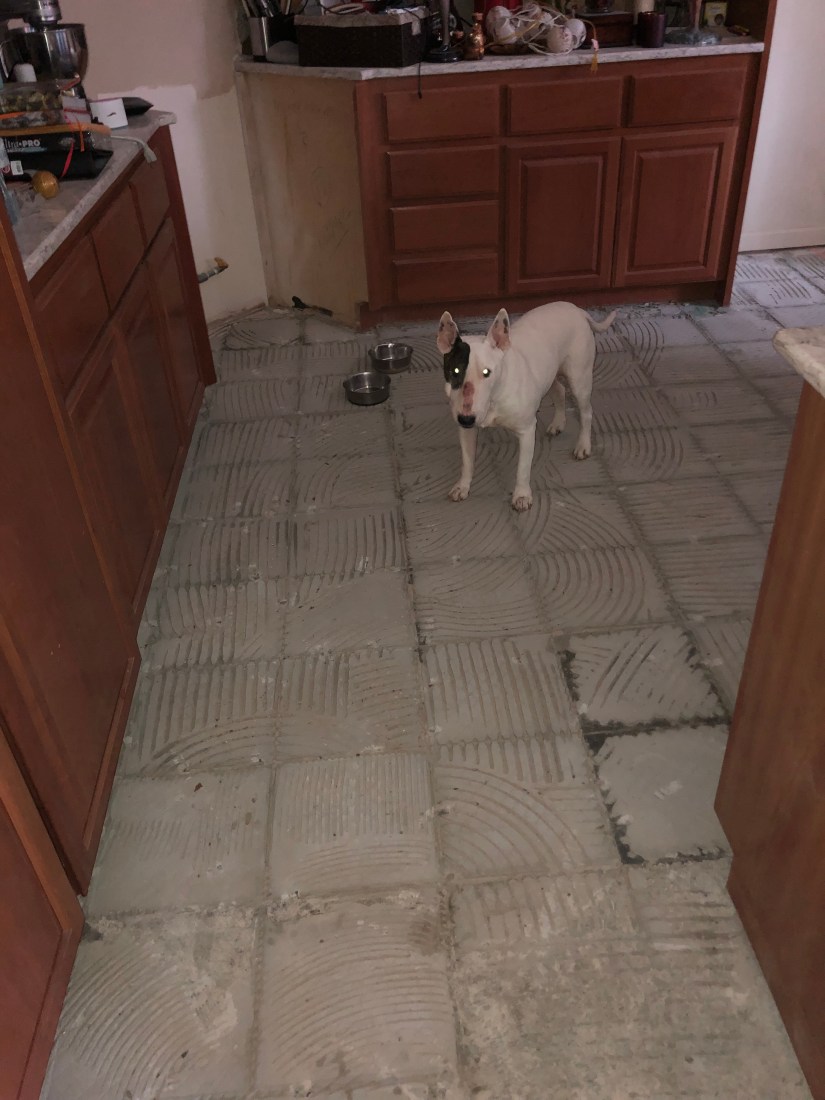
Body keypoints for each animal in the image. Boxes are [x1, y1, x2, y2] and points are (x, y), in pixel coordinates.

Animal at [437, 302, 616, 511]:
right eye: (455, 370)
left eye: (487, 372)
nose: (466, 419)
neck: (494, 398)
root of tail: (577, 309)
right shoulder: (466, 429)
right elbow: (467, 461)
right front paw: (462, 487)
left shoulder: (527, 430)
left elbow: (522, 468)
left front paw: (522, 496)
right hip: (549, 372)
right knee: (559, 390)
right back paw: (558, 423)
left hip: (580, 378)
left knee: (586, 412)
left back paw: (583, 446)